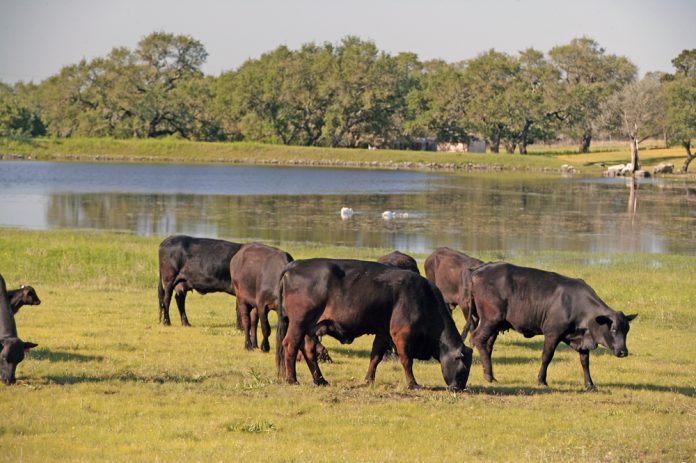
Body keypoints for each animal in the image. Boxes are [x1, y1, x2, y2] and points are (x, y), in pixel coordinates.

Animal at [468, 262, 636, 390]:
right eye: (613, 329)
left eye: (627, 330)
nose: (624, 352)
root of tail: (480, 269)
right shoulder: (552, 333)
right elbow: (546, 357)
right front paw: (541, 380)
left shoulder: (582, 339)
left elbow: (585, 361)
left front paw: (589, 384)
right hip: (491, 319)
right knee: (477, 338)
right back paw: (488, 376)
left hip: (496, 324)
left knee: (488, 345)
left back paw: (490, 374)